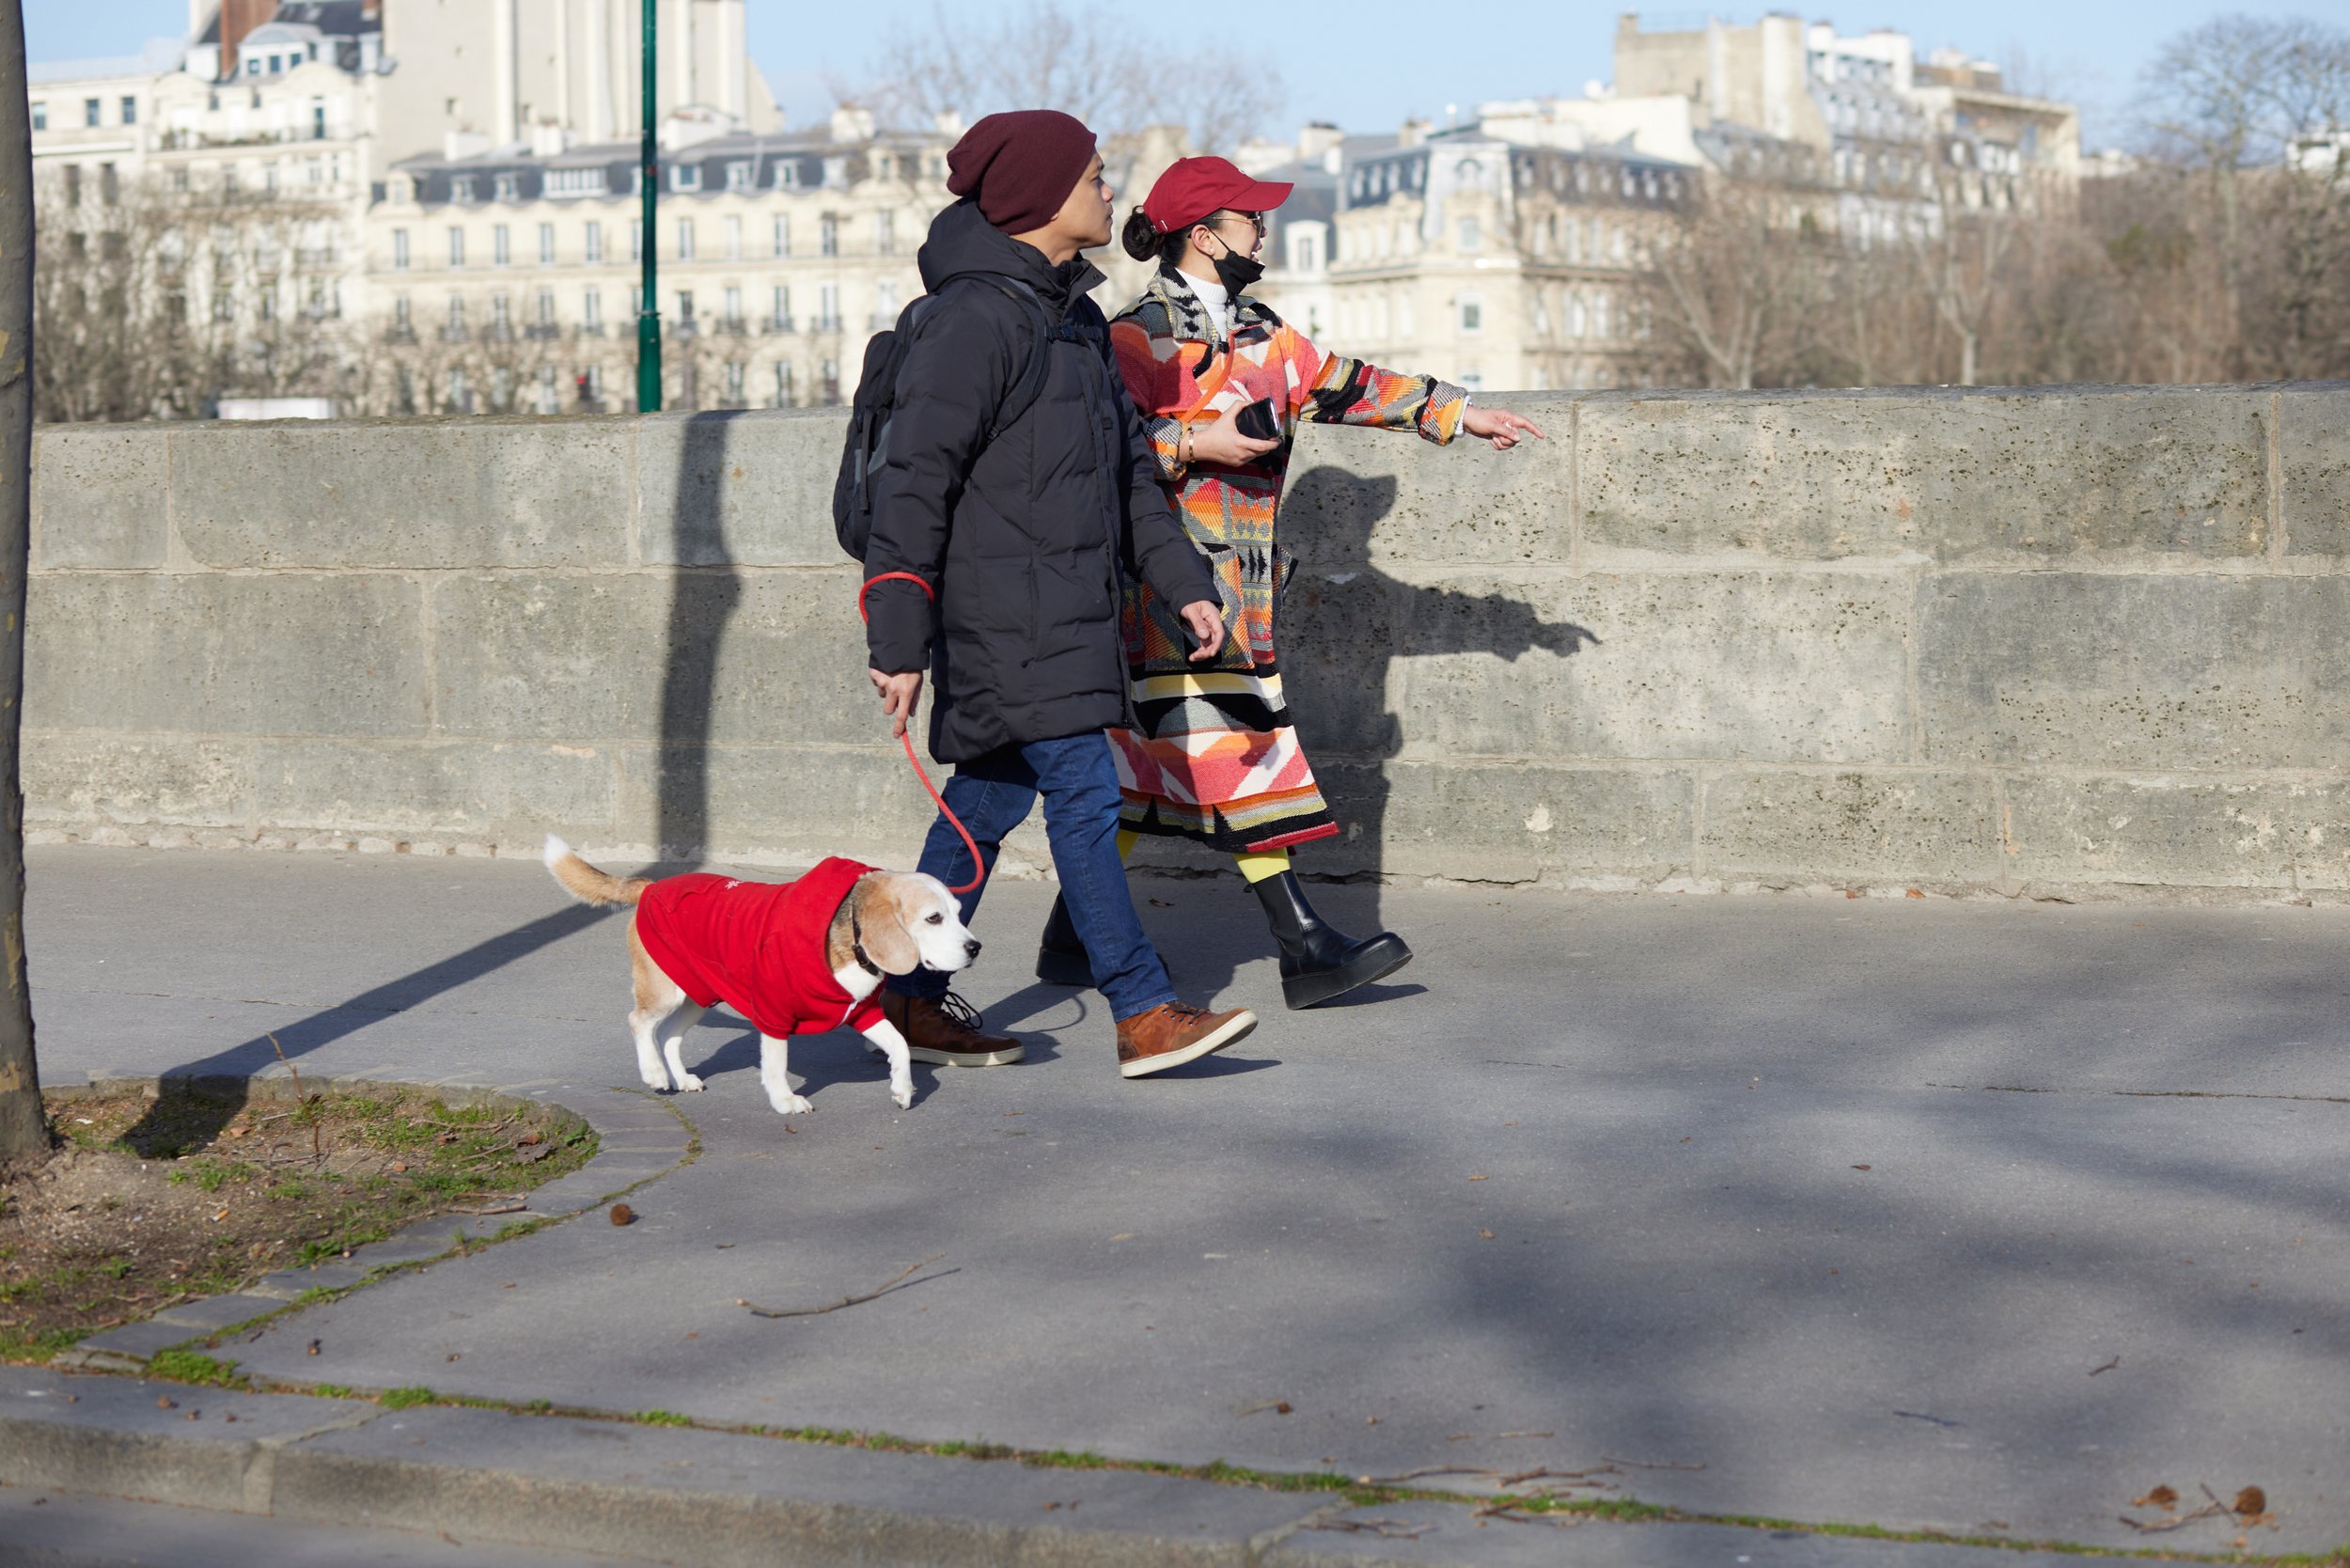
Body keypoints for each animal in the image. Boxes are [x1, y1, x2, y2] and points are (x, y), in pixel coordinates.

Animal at [545, 832, 978, 1114]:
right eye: (933, 918)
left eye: (959, 913)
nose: (975, 948)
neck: (849, 941)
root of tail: (651, 886)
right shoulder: (773, 1014)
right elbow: (775, 1063)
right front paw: (785, 1101)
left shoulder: (862, 1012)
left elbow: (900, 1045)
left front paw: (902, 1089)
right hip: (665, 991)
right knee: (639, 1022)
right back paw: (653, 1072)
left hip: (699, 995)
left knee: (667, 1035)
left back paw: (682, 1078)